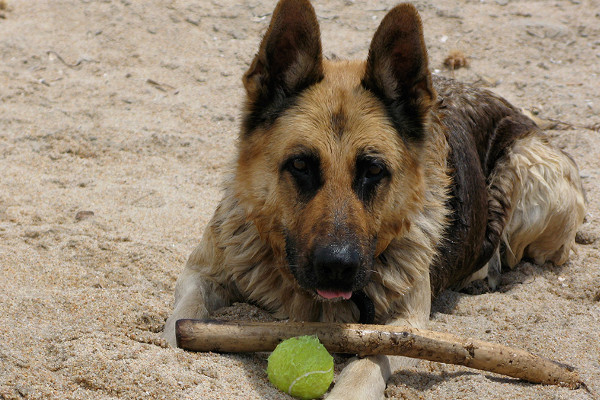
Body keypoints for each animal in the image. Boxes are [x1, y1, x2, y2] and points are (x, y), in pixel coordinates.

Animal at [162, 1, 584, 398]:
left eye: (373, 170)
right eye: (300, 164)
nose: (337, 267)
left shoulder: (408, 325)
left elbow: (375, 353)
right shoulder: (200, 272)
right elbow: (181, 318)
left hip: (530, 172)